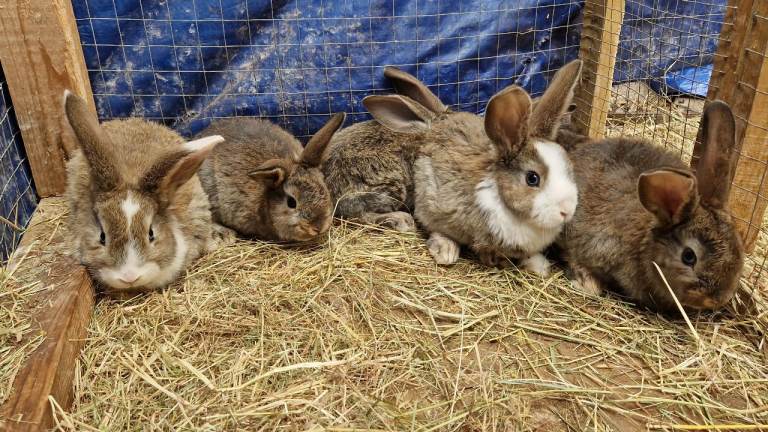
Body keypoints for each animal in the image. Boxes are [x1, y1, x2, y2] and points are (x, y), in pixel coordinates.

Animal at [557, 100, 745, 311]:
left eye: (740, 251)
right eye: (689, 256)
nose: (718, 299)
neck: (643, 244)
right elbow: (577, 259)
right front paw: (586, 284)